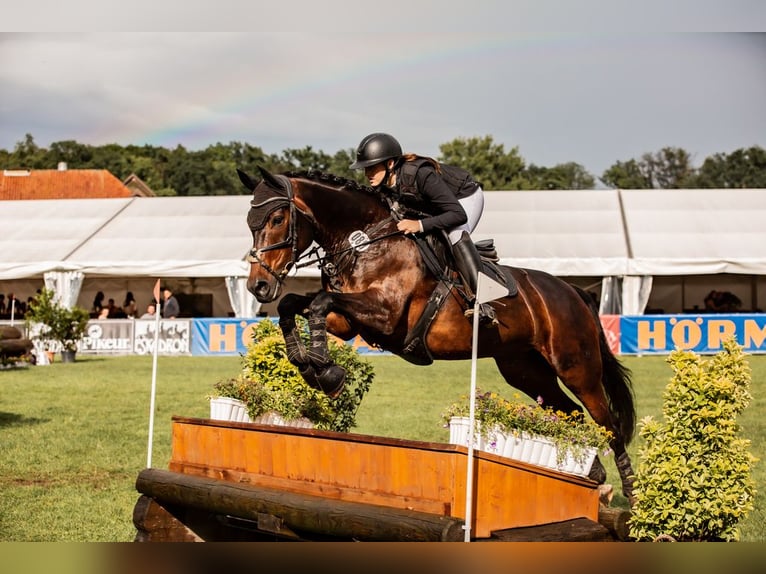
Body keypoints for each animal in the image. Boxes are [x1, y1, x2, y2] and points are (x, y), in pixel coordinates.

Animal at [237, 166, 640, 504]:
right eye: (250, 223)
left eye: (277, 218)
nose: (258, 286)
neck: (366, 242)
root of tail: (573, 291)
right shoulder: (349, 322)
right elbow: (294, 305)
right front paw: (309, 366)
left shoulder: (383, 314)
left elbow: (318, 303)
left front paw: (326, 371)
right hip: (525, 370)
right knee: (571, 414)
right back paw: (593, 476)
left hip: (576, 367)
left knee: (607, 424)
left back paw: (632, 493)